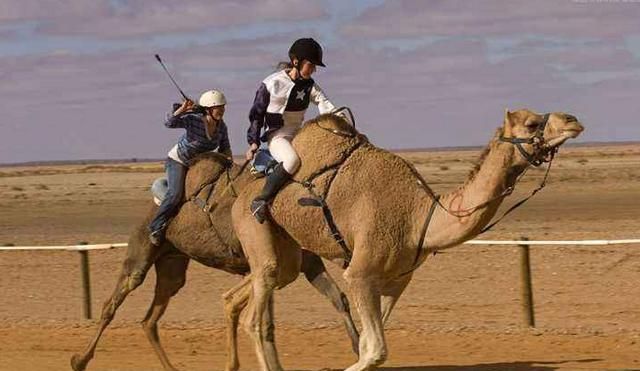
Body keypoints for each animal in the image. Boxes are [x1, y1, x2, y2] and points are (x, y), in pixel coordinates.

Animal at [71, 152, 360, 371]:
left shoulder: (305, 262)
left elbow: (338, 298)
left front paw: (359, 349)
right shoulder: (266, 262)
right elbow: (265, 321)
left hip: (173, 265)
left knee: (150, 318)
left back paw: (171, 367)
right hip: (142, 250)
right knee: (114, 301)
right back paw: (79, 360)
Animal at [226, 109, 584, 370]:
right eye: (532, 123)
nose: (572, 120)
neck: (419, 217)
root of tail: (241, 194)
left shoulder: (396, 280)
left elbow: (370, 348)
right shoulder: (360, 274)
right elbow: (374, 351)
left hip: (287, 249)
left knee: (255, 287)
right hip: (253, 224)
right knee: (256, 314)